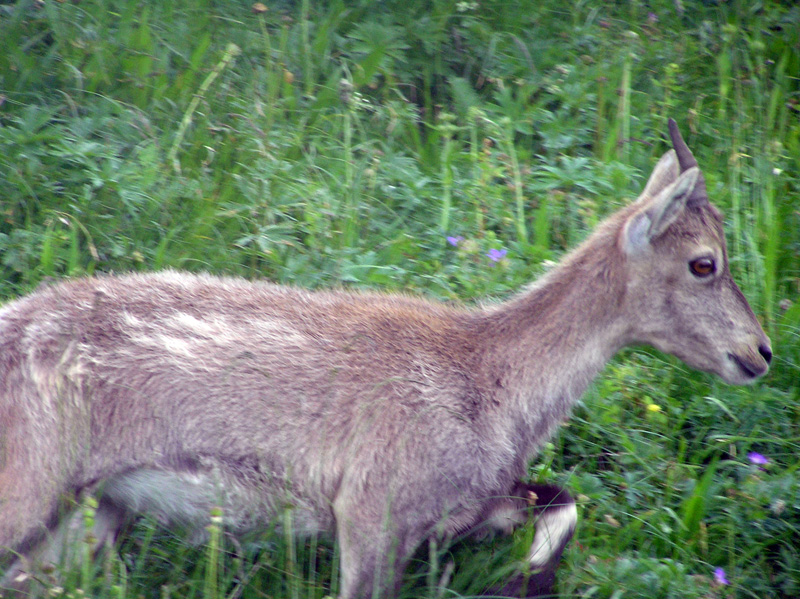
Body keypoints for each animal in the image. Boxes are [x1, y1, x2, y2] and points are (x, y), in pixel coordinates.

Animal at [3, 119, 772, 596]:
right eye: (705, 263)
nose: (759, 352)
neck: (487, 380)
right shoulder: (373, 506)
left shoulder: (462, 507)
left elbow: (561, 499)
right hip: (28, 490)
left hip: (87, 513)